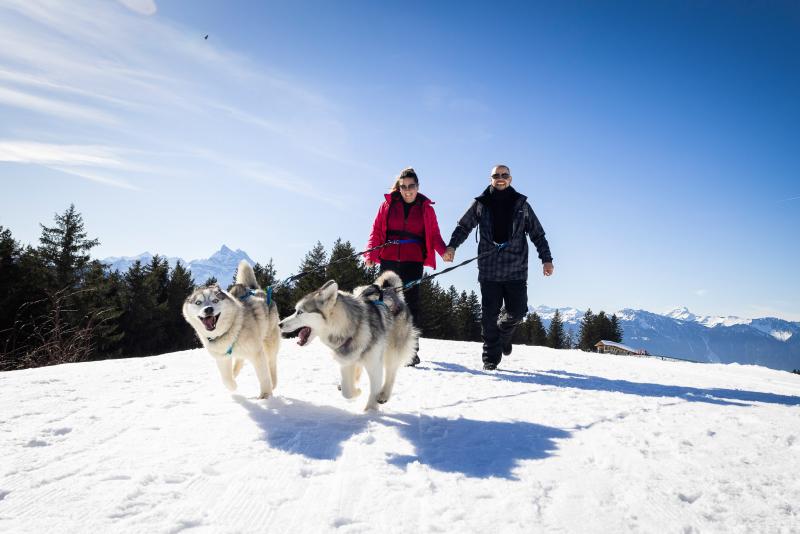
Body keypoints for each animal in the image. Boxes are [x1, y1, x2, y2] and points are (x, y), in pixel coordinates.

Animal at [183, 262, 280, 400]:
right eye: (198, 302)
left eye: (215, 300)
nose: (208, 309)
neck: (229, 330)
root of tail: (254, 289)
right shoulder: (222, 358)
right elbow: (226, 379)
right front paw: (233, 386)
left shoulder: (257, 353)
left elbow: (263, 376)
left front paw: (265, 395)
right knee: (240, 360)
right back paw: (235, 373)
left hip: (269, 340)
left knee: (271, 362)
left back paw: (273, 381)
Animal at [280, 274, 418, 412]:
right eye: (295, 310)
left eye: (300, 312)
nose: (279, 324)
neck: (352, 328)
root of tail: (392, 292)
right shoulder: (345, 362)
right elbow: (347, 391)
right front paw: (357, 391)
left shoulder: (374, 365)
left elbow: (373, 391)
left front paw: (370, 411)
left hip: (392, 351)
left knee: (391, 372)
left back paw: (384, 394)